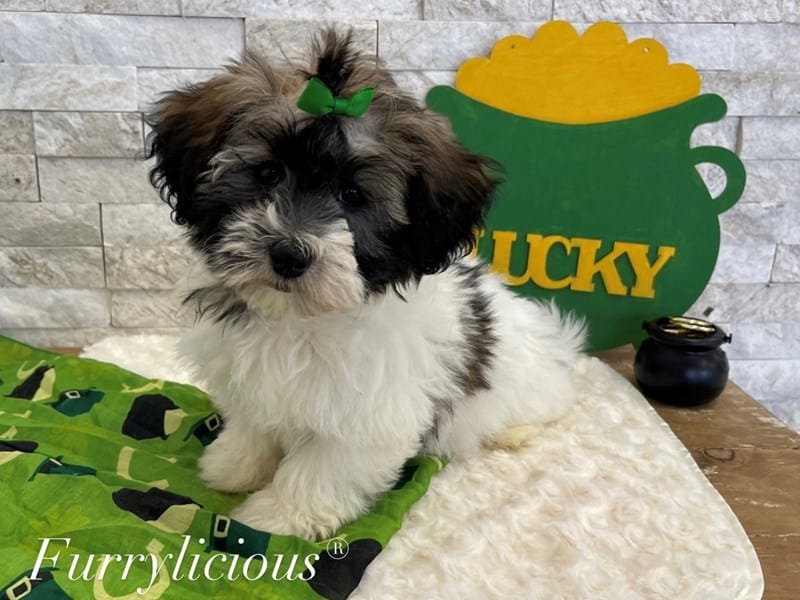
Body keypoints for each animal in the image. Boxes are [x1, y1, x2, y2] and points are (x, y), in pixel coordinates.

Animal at [145, 29, 585, 541]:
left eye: (352, 196)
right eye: (268, 173)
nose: (289, 254)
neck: (301, 319)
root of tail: (557, 341)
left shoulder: (369, 413)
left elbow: (323, 468)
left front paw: (278, 516)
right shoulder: (250, 376)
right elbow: (255, 424)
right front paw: (234, 465)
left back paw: (511, 432)